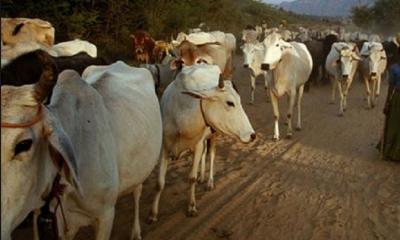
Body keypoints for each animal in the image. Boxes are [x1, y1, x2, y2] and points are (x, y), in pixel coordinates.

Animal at [1, 51, 162, 239]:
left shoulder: (105, 216)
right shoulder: (42, 218)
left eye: (24, 144)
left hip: (142, 169)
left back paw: (136, 231)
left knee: (137, 193)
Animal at [148, 63, 256, 221]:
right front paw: (153, 214)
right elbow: (159, 183)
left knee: (211, 154)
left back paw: (209, 181)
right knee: (205, 153)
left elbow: (191, 178)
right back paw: (202, 176)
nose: (252, 135)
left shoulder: (197, 144)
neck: (181, 117)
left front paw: (191, 206)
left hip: (214, 134)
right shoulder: (165, 147)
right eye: (230, 103)